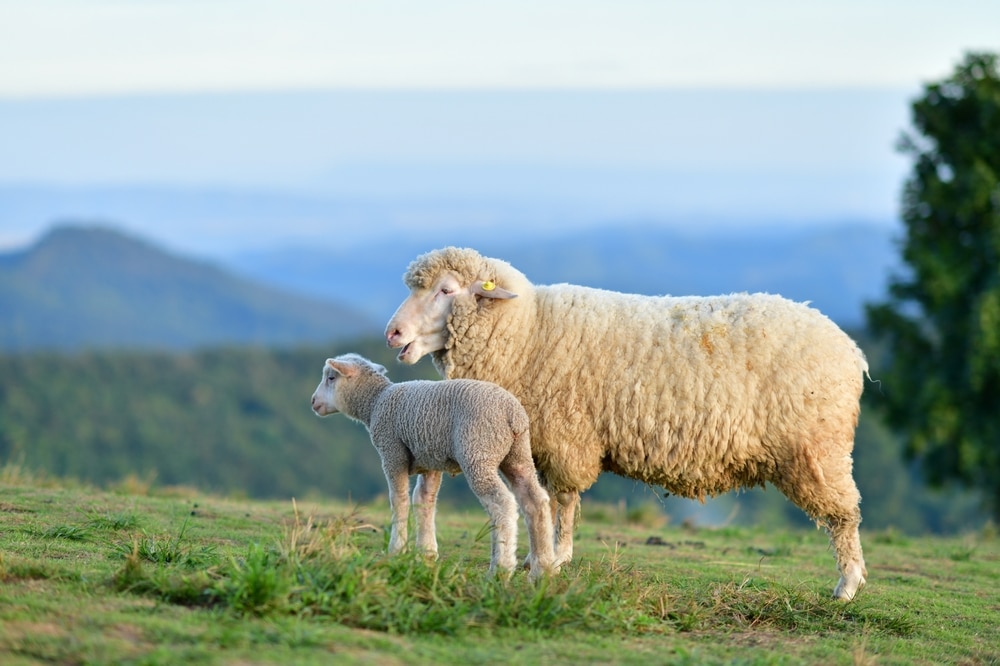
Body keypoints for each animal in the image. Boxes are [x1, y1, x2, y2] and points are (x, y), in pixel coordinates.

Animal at [308, 350, 560, 580]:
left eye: (331, 377)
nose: (313, 402)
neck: (375, 402)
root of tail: (512, 414)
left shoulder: (392, 452)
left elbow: (398, 500)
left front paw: (396, 550)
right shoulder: (430, 461)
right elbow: (423, 500)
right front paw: (426, 554)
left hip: (478, 450)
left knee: (502, 503)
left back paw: (500, 569)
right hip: (518, 455)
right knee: (535, 501)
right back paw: (542, 568)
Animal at [386, 246, 872, 600]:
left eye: (446, 290)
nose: (393, 333)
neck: (526, 332)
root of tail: (850, 351)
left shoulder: (568, 436)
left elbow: (563, 500)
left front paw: (557, 556)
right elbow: (546, 500)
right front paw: (539, 557)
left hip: (819, 449)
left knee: (845, 516)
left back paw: (847, 585)